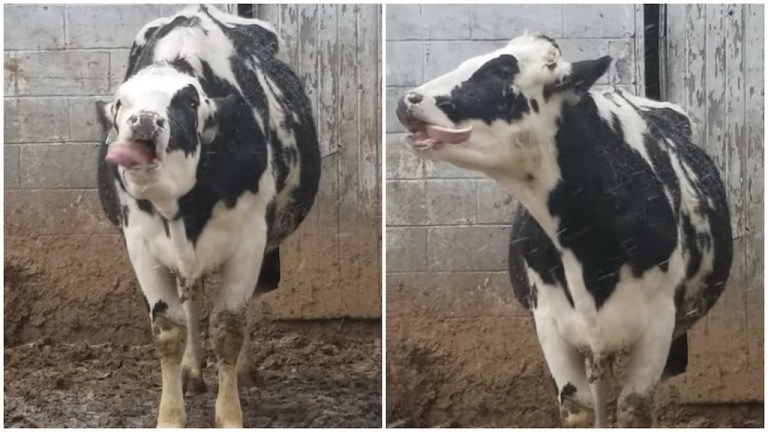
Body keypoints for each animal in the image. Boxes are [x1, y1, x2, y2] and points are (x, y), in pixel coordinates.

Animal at [97, 5, 320, 426]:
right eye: (121, 103)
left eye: (187, 102)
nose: (143, 121)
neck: (181, 206)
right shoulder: (141, 245)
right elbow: (168, 329)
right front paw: (170, 415)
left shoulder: (250, 241)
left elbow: (228, 327)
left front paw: (229, 414)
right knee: (191, 304)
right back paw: (192, 370)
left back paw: (245, 371)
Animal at [396, 33, 732, 426]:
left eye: (500, 71)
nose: (407, 100)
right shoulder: (550, 323)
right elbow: (578, 408)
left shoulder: (659, 326)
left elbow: (633, 408)